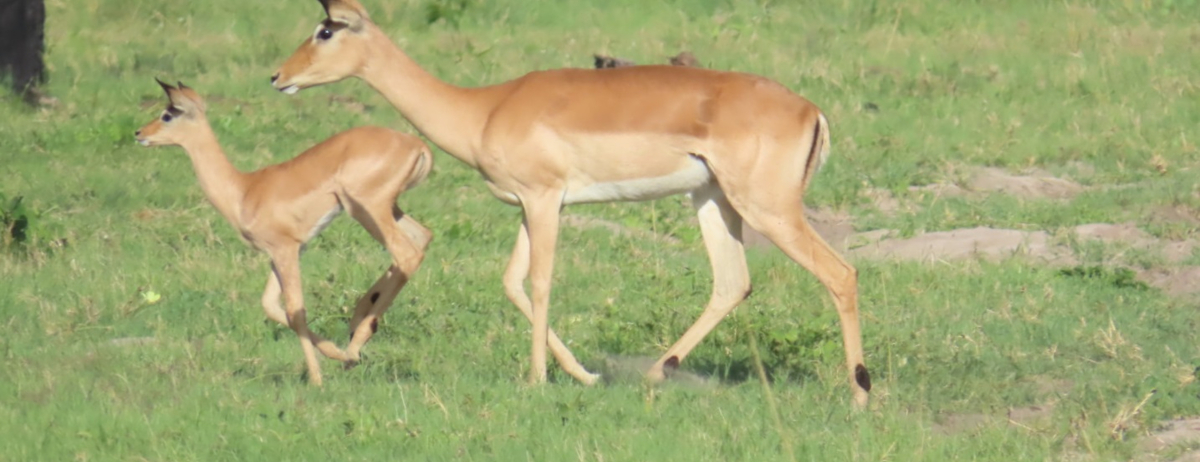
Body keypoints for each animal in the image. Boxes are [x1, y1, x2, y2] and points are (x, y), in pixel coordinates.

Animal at [134, 79, 433, 386]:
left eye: (168, 114)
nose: (139, 133)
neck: (243, 191)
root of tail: (417, 145)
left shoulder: (285, 248)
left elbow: (295, 311)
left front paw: (317, 377)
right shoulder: (284, 252)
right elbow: (271, 305)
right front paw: (333, 353)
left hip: (366, 208)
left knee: (406, 253)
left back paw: (354, 348)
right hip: (386, 210)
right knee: (421, 237)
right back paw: (354, 341)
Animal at [271, 0, 871, 406]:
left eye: (325, 29)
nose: (278, 76)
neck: (484, 109)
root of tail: (809, 110)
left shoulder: (543, 198)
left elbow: (539, 282)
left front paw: (537, 380)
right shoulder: (532, 205)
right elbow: (513, 282)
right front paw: (584, 375)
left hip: (768, 208)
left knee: (840, 273)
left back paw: (860, 393)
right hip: (712, 200)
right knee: (732, 282)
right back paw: (653, 374)